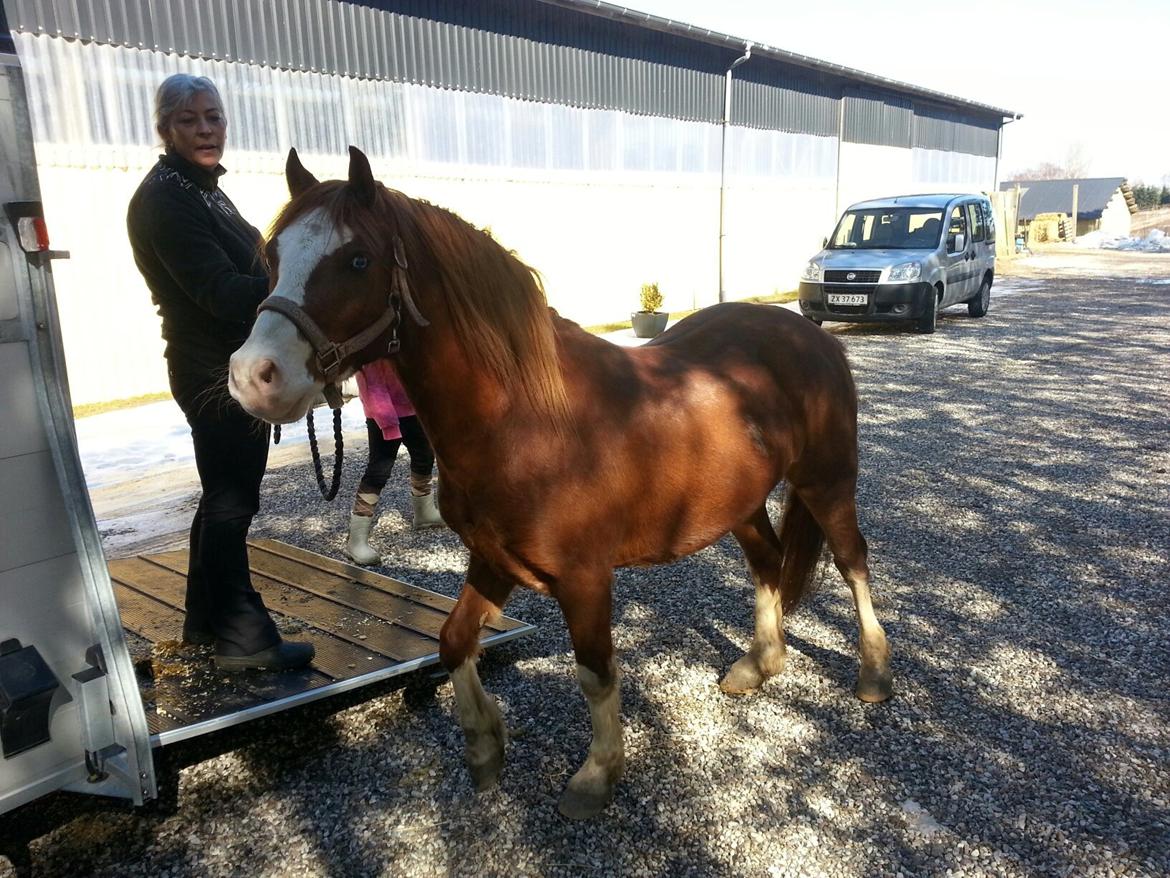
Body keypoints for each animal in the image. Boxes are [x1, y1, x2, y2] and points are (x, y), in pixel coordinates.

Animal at [228, 146, 893, 819]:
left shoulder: (585, 578)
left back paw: (873, 674)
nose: (252, 376)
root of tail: (809, 333)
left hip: (827, 481)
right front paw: (484, 748)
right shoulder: (492, 560)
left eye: (358, 259)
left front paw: (596, 775)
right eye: (273, 256)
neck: (523, 420)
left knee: (852, 561)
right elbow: (452, 640)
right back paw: (759, 664)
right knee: (768, 562)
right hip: (742, 503)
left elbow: (595, 672)